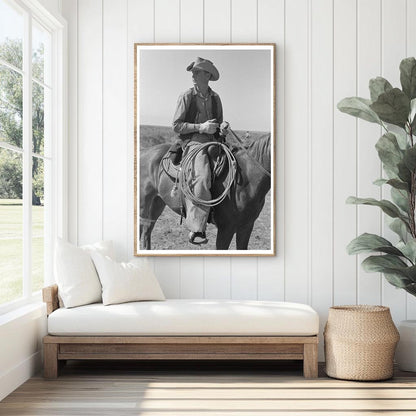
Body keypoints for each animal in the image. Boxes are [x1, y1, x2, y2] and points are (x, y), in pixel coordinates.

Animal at [138, 134, 272, 250]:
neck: (247, 178)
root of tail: (143, 152)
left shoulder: (246, 226)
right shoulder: (226, 228)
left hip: (157, 202)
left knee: (147, 229)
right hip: (143, 204)